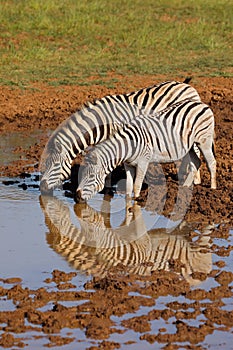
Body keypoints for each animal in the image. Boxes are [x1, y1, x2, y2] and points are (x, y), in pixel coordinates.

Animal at [39, 78, 201, 194]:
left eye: (55, 165)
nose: (42, 187)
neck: (100, 122)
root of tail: (187, 86)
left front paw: (107, 185)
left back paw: (196, 180)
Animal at [77, 98, 217, 202]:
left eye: (91, 176)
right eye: (82, 174)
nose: (77, 197)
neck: (127, 147)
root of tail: (201, 103)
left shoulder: (143, 162)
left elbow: (136, 186)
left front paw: (136, 201)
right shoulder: (128, 165)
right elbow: (128, 186)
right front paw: (128, 202)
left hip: (204, 141)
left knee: (211, 162)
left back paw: (212, 189)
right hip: (191, 144)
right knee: (196, 162)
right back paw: (186, 186)